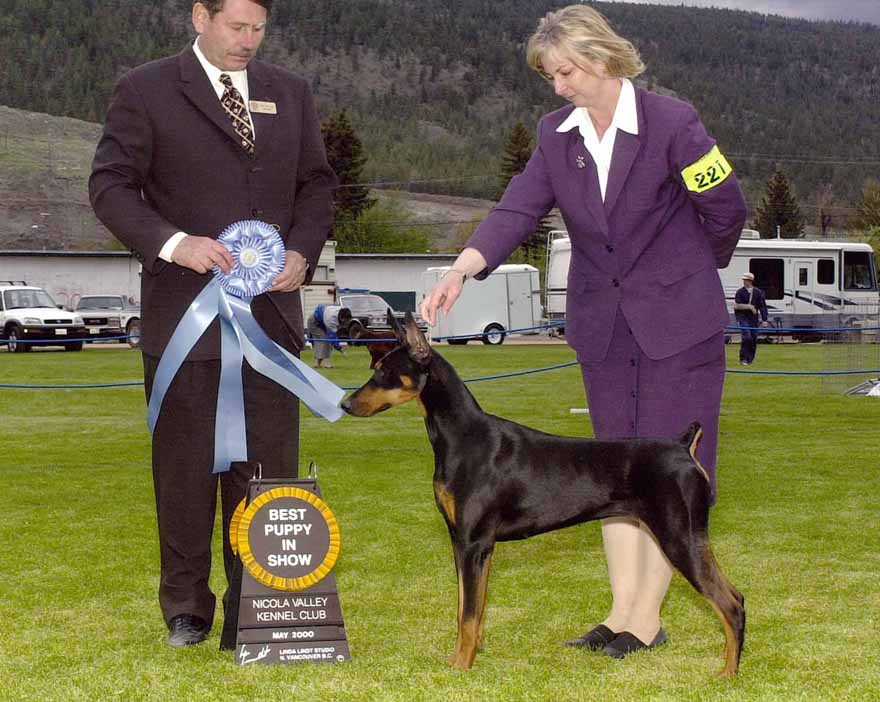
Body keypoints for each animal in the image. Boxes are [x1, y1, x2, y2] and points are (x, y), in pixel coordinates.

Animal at [342, 314, 744, 676]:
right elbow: (469, 607)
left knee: (731, 604)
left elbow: (468, 612)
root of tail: (683, 446)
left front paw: (460, 666)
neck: (462, 437)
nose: (345, 405)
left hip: (680, 538)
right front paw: (469, 653)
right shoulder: (466, 543)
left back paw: (728, 673)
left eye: (383, 371)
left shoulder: (473, 542)